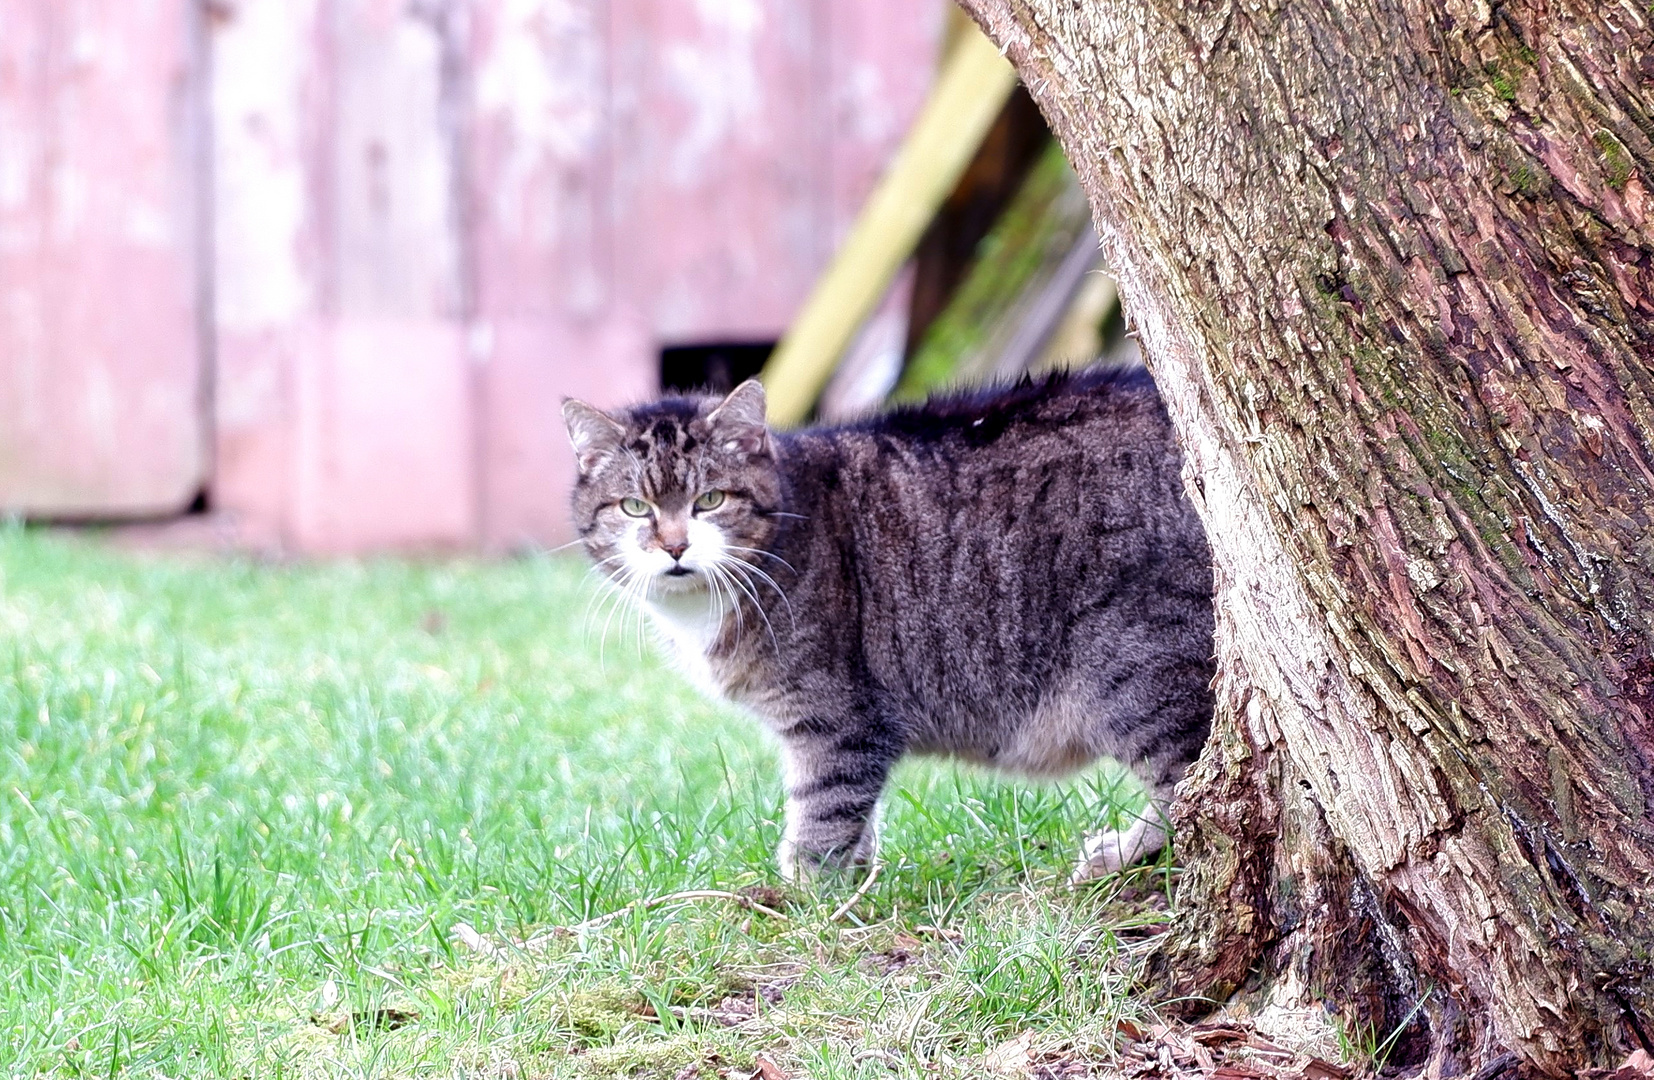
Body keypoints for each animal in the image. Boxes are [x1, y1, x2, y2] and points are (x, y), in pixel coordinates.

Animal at [565, 367, 1217, 879]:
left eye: (710, 501)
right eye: (634, 508)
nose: (674, 545)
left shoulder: (834, 718)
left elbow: (822, 810)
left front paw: (807, 901)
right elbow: (854, 813)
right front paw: (856, 876)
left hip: (1138, 673)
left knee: (1194, 792)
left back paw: (1129, 854)